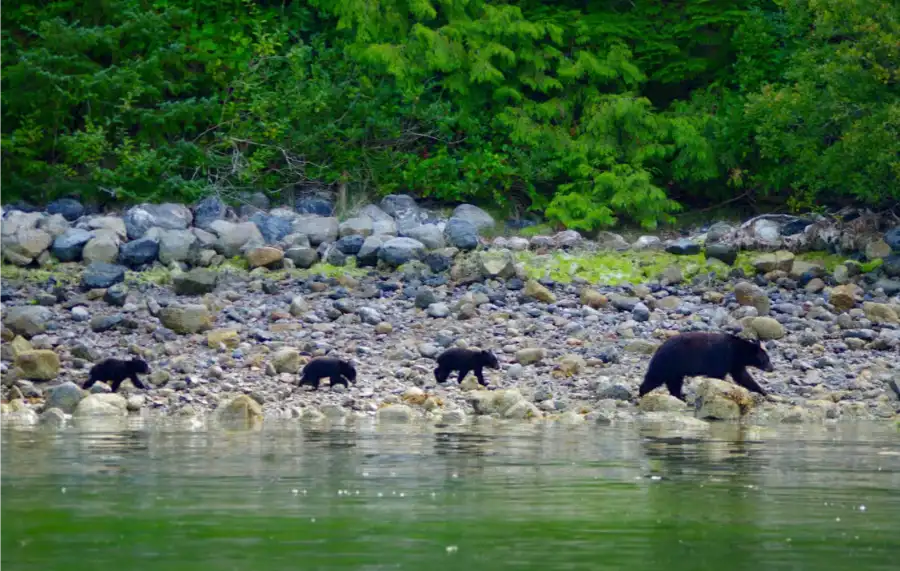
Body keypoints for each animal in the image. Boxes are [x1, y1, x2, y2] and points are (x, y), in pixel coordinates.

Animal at [638, 332, 774, 401]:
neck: (737, 351)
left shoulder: (735, 364)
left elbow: (743, 377)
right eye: (766, 359)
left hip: (675, 369)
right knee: (654, 377)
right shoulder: (722, 357)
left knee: (674, 383)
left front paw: (764, 392)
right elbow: (718, 375)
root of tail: (659, 347)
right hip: (668, 362)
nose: (772, 368)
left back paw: (680, 396)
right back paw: (641, 393)